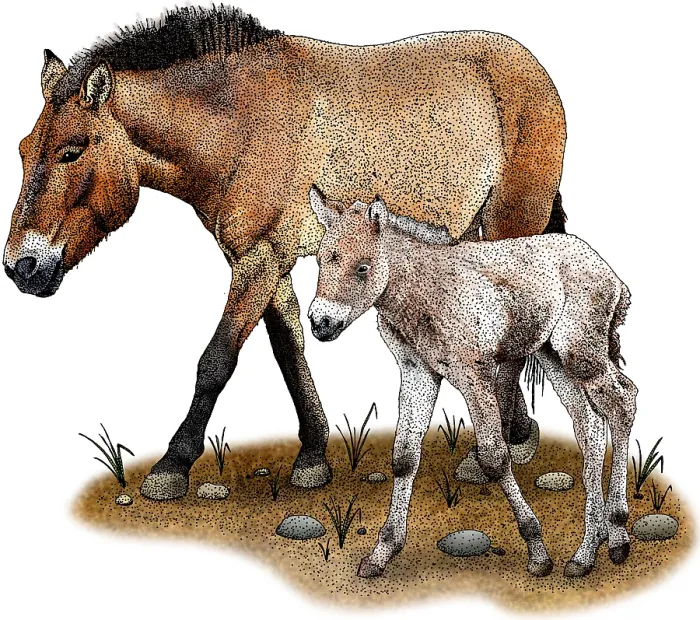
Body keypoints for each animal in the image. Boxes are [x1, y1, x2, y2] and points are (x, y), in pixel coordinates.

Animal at [3, 6, 566, 501]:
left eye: (72, 150)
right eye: (24, 150)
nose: (20, 267)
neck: (238, 121)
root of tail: (532, 66)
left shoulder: (259, 260)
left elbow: (217, 360)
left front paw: (172, 466)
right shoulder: (263, 262)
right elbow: (289, 350)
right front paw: (313, 456)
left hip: (511, 226)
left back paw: (506, 445)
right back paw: (516, 435)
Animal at [308, 188, 636, 579]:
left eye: (362, 267)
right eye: (321, 261)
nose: (320, 323)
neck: (424, 291)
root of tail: (609, 272)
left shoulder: (475, 376)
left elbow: (494, 458)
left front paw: (537, 552)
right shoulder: (418, 372)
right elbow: (404, 457)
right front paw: (381, 553)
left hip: (580, 353)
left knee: (622, 404)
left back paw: (617, 538)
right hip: (554, 359)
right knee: (591, 428)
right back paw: (586, 553)